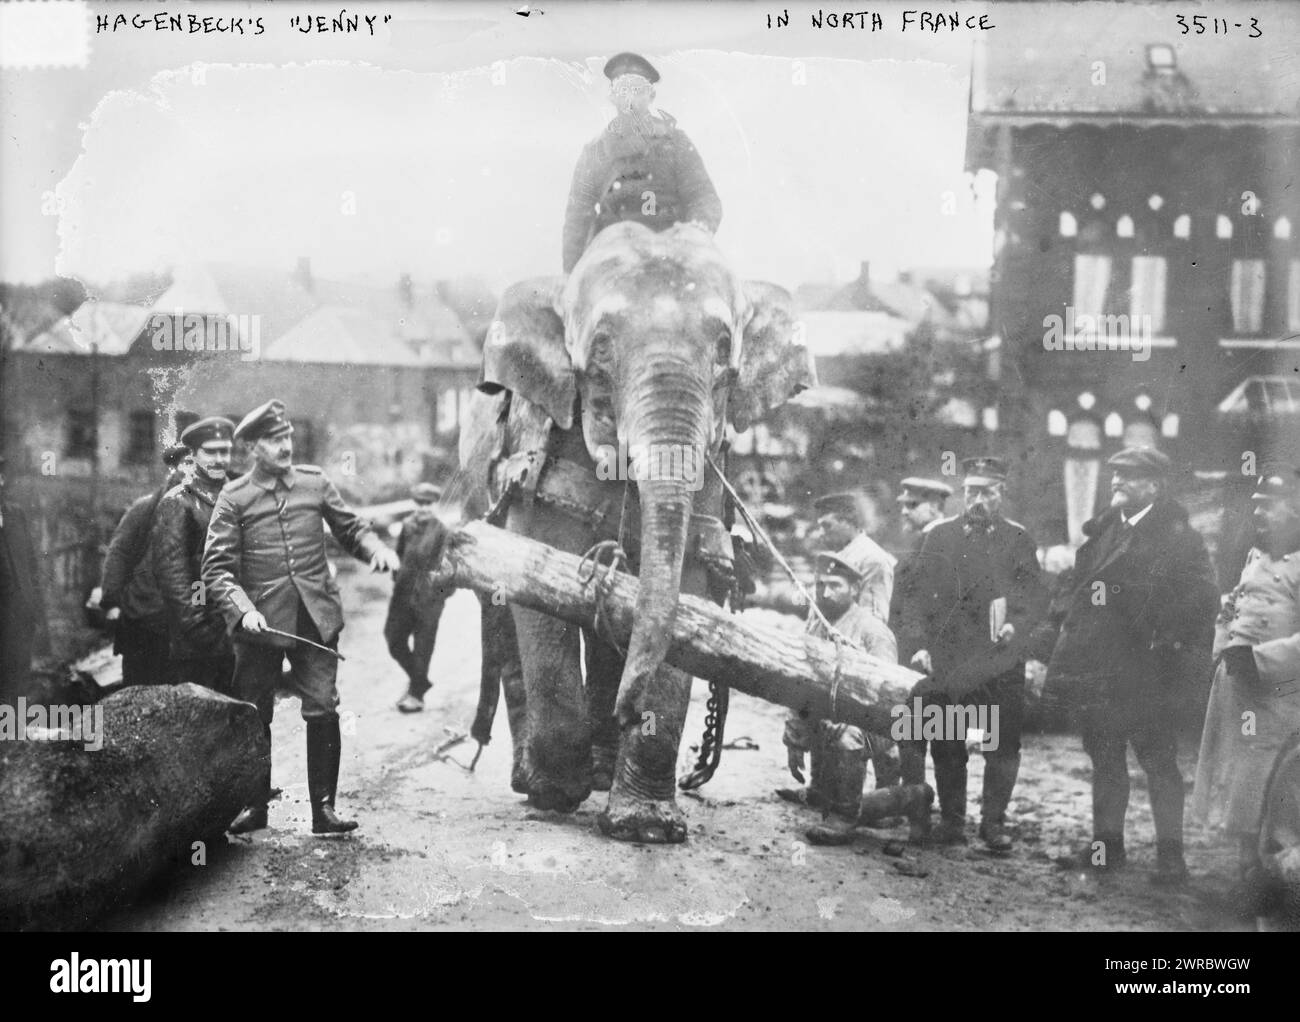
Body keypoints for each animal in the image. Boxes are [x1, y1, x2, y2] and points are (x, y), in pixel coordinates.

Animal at [460, 218, 811, 842]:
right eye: (599, 350)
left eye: (724, 353)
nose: (628, 711)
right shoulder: (542, 453)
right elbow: (538, 582)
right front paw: (558, 793)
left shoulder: (710, 475)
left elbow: (688, 589)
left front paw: (645, 826)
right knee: (502, 618)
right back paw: (536, 778)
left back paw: (601, 768)